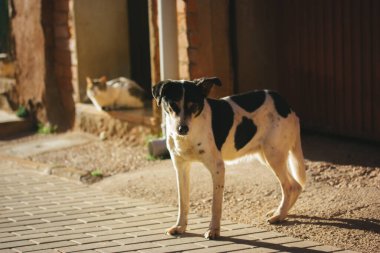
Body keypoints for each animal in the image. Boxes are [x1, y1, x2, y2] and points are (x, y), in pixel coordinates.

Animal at [151, 77, 306, 239]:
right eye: (172, 105)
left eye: (194, 105)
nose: (182, 129)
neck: (189, 136)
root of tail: (284, 103)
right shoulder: (181, 167)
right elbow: (183, 202)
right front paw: (180, 227)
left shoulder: (217, 168)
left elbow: (216, 205)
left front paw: (213, 230)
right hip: (267, 156)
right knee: (296, 185)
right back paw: (282, 212)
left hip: (273, 156)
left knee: (289, 186)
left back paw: (279, 215)